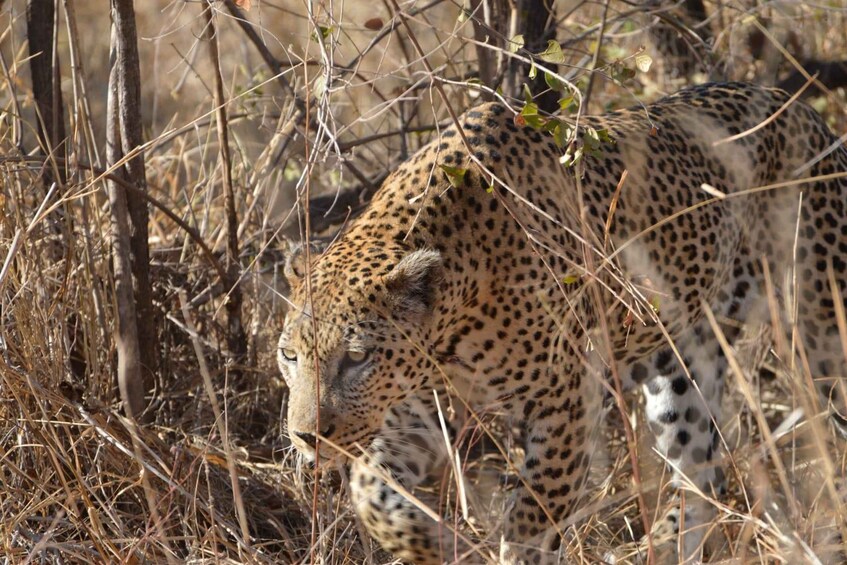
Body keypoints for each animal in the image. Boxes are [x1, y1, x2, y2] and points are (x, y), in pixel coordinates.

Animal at [277, 83, 847, 563]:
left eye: (356, 358)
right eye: (289, 356)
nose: (308, 436)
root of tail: (803, 110)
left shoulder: (567, 401)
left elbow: (533, 518)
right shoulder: (415, 410)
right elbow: (373, 494)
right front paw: (439, 544)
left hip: (819, 325)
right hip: (684, 359)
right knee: (703, 470)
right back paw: (661, 549)